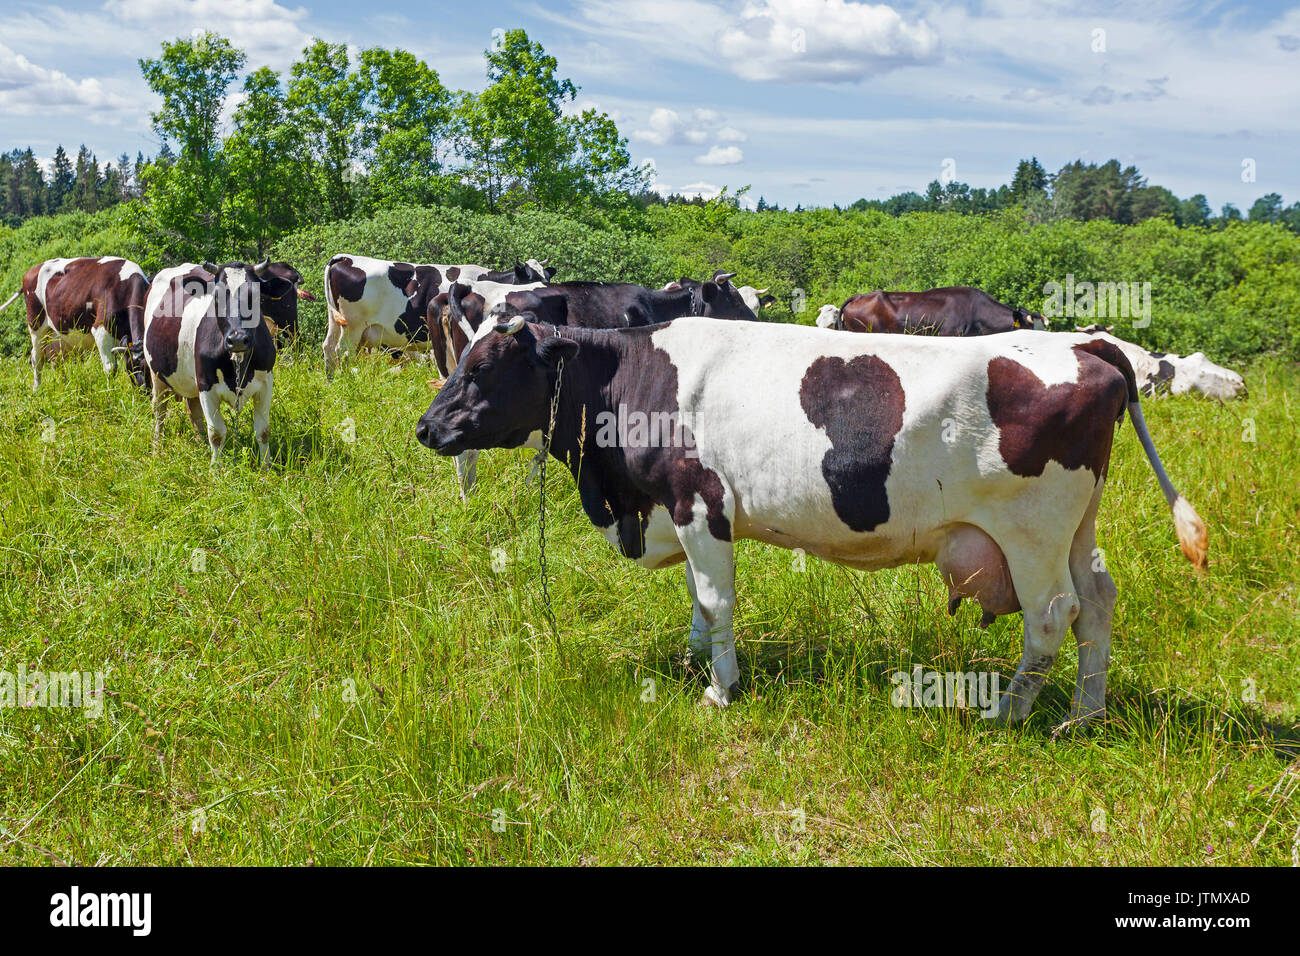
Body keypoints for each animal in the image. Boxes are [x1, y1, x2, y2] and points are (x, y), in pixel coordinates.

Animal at [2, 256, 150, 390]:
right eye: (133, 368)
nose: (144, 391)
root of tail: (33, 269)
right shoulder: (101, 329)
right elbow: (110, 368)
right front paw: (110, 392)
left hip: (56, 332)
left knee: (56, 359)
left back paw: (64, 386)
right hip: (36, 325)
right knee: (37, 359)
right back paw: (37, 390)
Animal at [142, 260, 276, 462]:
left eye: (255, 296)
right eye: (217, 297)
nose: (237, 339)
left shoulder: (266, 383)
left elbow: (263, 431)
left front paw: (266, 466)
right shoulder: (206, 385)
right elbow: (217, 433)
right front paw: (215, 467)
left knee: (193, 411)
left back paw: (201, 445)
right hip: (157, 375)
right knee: (159, 411)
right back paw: (157, 449)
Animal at [321, 255, 549, 378]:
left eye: (546, 275)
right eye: (529, 276)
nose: (546, 288)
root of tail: (345, 258)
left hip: (336, 322)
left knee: (329, 348)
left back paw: (332, 381)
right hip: (353, 326)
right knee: (344, 351)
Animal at [416, 316, 1207, 726]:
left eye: (483, 368)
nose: (426, 427)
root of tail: (1084, 343)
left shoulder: (701, 502)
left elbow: (717, 598)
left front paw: (720, 688)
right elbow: (698, 601)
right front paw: (695, 658)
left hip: (1032, 532)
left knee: (1052, 616)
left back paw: (1006, 715)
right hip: (1077, 526)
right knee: (1097, 602)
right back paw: (1085, 712)